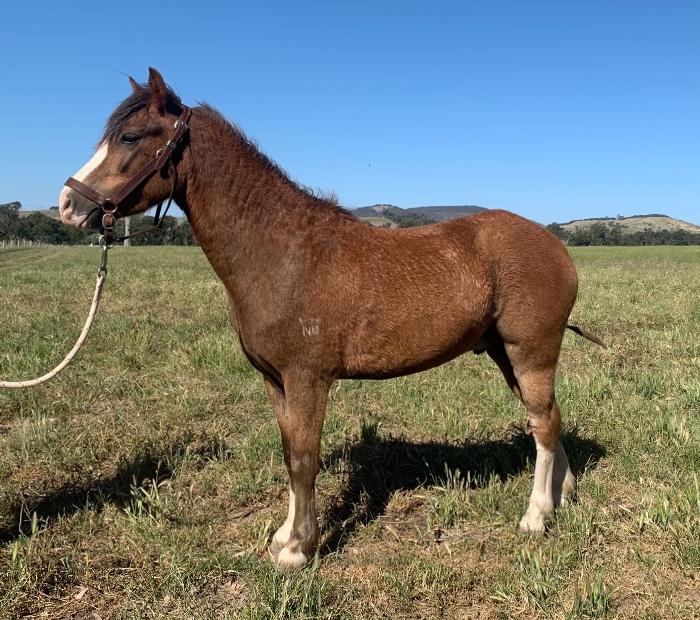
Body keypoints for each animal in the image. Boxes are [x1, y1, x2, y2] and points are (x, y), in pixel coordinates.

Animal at [58, 68, 604, 572]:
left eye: (131, 137)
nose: (68, 204)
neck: (282, 252)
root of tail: (556, 246)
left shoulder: (308, 378)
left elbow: (304, 459)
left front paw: (299, 549)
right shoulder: (275, 380)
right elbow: (289, 454)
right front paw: (285, 535)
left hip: (529, 351)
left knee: (542, 422)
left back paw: (536, 516)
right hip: (503, 352)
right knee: (548, 419)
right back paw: (564, 495)